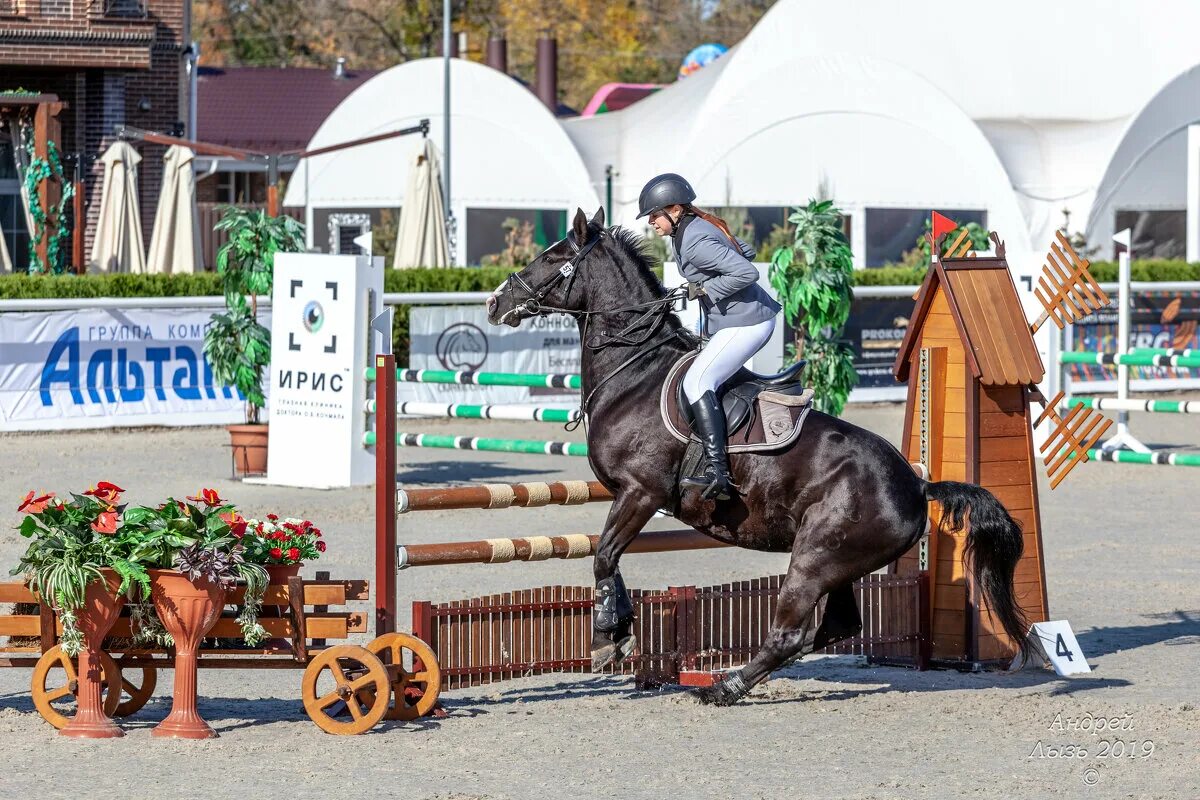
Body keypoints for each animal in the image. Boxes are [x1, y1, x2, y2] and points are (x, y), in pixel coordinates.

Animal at [482, 208, 1027, 705]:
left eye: (553, 258)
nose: (493, 302)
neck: (633, 371)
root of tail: (917, 484)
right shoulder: (630, 496)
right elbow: (607, 558)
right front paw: (617, 631)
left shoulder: (641, 491)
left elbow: (603, 555)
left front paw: (606, 639)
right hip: (837, 562)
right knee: (831, 627)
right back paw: (735, 679)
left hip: (814, 557)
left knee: (792, 631)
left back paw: (724, 687)